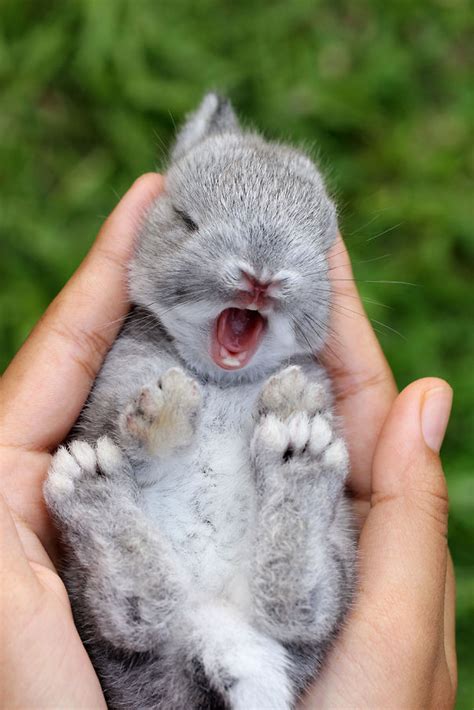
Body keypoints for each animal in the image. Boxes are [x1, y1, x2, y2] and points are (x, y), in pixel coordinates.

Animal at [44, 94, 356, 710]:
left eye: (322, 243)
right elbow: (127, 428)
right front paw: (166, 411)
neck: (219, 380)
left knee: (300, 607)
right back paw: (91, 484)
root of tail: (219, 638)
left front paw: (293, 396)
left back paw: (300, 451)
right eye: (185, 221)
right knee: (137, 615)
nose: (262, 276)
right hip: (93, 602)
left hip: (336, 565)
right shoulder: (110, 396)